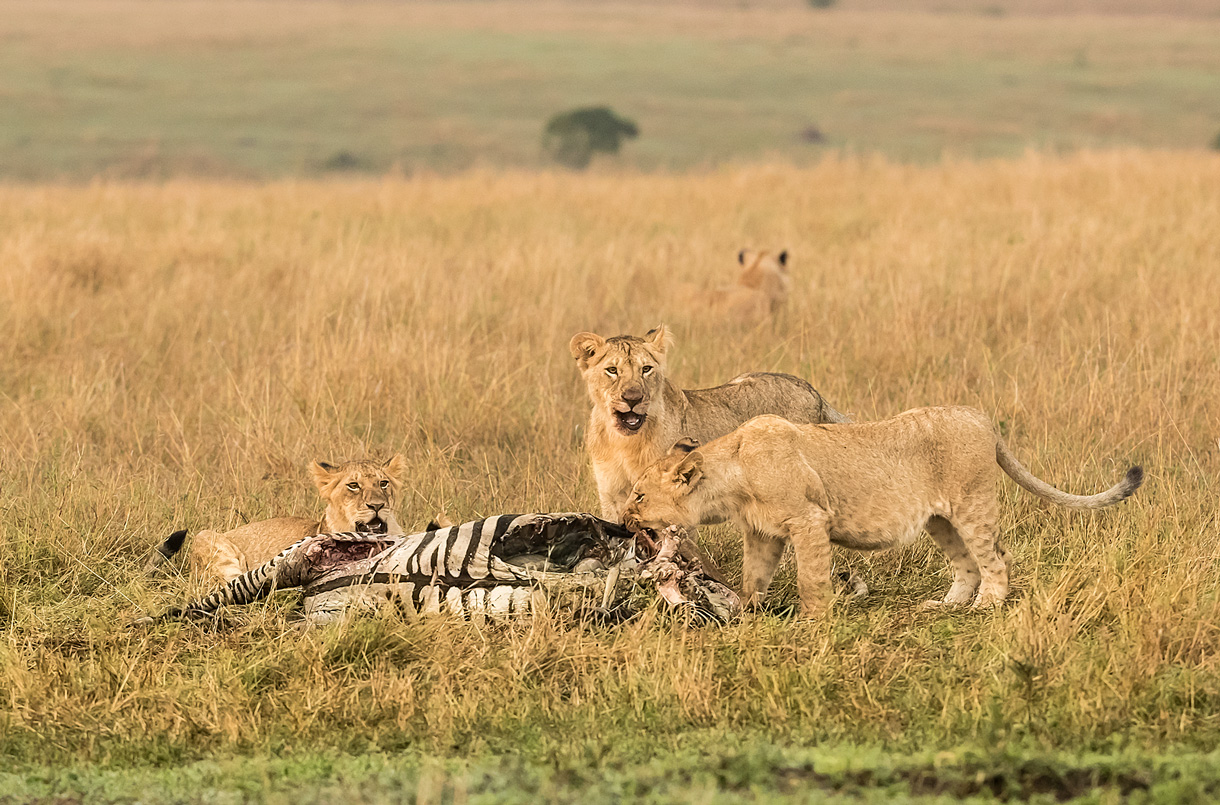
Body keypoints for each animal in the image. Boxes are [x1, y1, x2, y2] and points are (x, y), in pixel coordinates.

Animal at [566, 324, 844, 524]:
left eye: (646, 369)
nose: (633, 398)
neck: (623, 443)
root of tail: (813, 392)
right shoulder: (611, 496)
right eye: (612, 370)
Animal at [624, 409, 1146, 617]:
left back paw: (986, 606)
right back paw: (946, 606)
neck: (732, 477)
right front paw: (749, 611)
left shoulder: (809, 520)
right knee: (966, 564)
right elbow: (755, 576)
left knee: (996, 559)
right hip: (940, 520)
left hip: (971, 504)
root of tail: (982, 419)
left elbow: (811, 576)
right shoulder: (764, 533)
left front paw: (815, 619)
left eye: (639, 496)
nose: (624, 519)